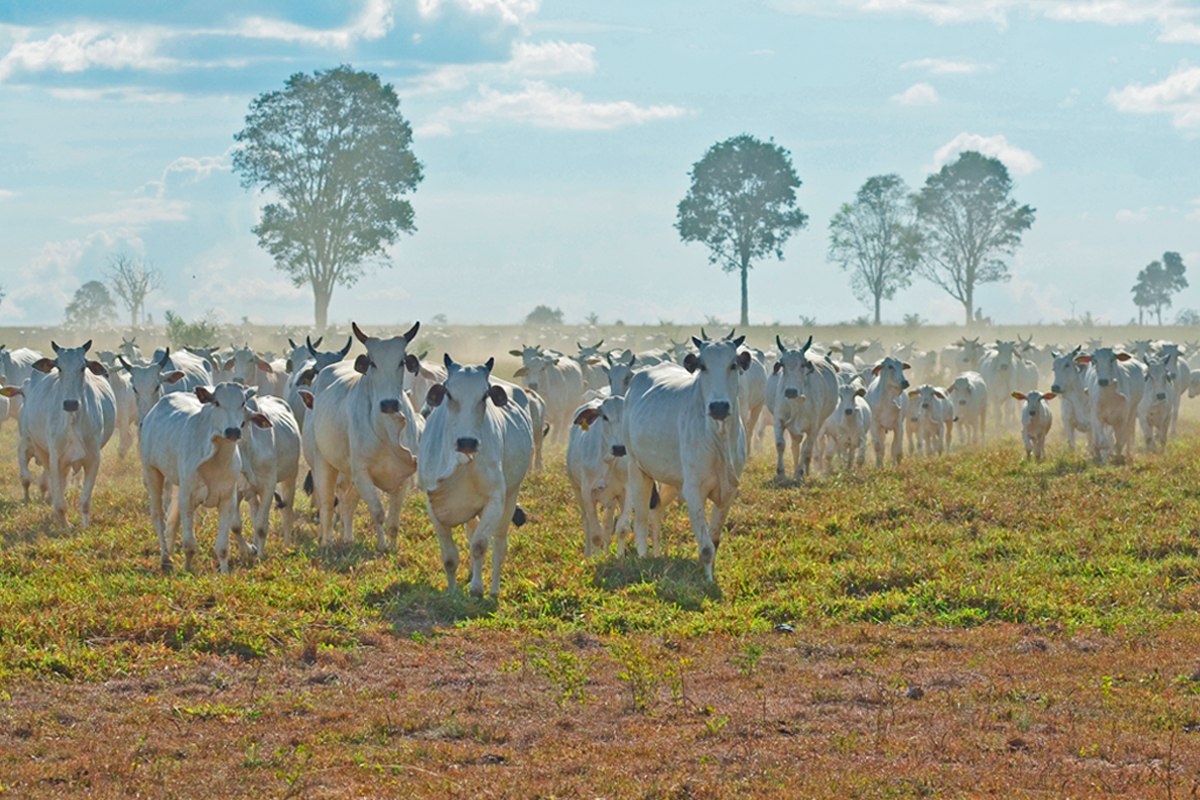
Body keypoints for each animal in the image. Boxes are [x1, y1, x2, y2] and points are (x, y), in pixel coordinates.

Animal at [5, 343, 114, 525]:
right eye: (59, 368)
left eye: (83, 367)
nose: (71, 403)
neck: (73, 419)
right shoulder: (52, 456)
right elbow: (52, 492)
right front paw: (63, 523)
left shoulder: (93, 459)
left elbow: (85, 501)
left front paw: (84, 526)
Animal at [139, 383, 270, 575]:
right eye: (217, 402)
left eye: (242, 403)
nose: (233, 431)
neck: (216, 461)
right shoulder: (187, 497)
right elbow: (189, 543)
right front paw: (187, 569)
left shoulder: (227, 499)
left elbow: (223, 545)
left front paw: (225, 572)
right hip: (152, 471)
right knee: (158, 517)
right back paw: (166, 559)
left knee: (173, 520)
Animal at [309, 321, 422, 551]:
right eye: (373, 363)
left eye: (401, 362)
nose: (389, 404)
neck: (387, 429)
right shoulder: (361, 472)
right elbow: (378, 512)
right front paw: (382, 545)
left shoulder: (403, 476)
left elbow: (393, 520)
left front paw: (393, 547)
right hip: (323, 461)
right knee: (327, 505)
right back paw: (326, 540)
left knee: (348, 504)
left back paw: (348, 538)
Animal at [422, 359, 535, 597]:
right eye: (449, 394)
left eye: (484, 396)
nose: (467, 442)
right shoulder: (433, 505)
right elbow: (450, 557)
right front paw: (452, 592)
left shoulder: (495, 500)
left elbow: (480, 545)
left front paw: (476, 589)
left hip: (511, 496)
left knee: (499, 545)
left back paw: (493, 590)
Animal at [624, 335, 744, 578]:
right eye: (703, 367)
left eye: (733, 365)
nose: (718, 407)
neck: (719, 440)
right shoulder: (694, 490)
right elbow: (706, 547)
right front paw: (707, 578)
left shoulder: (728, 491)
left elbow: (714, 541)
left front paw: (709, 573)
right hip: (637, 469)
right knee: (640, 520)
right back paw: (643, 557)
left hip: (670, 480)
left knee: (657, 510)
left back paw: (657, 553)